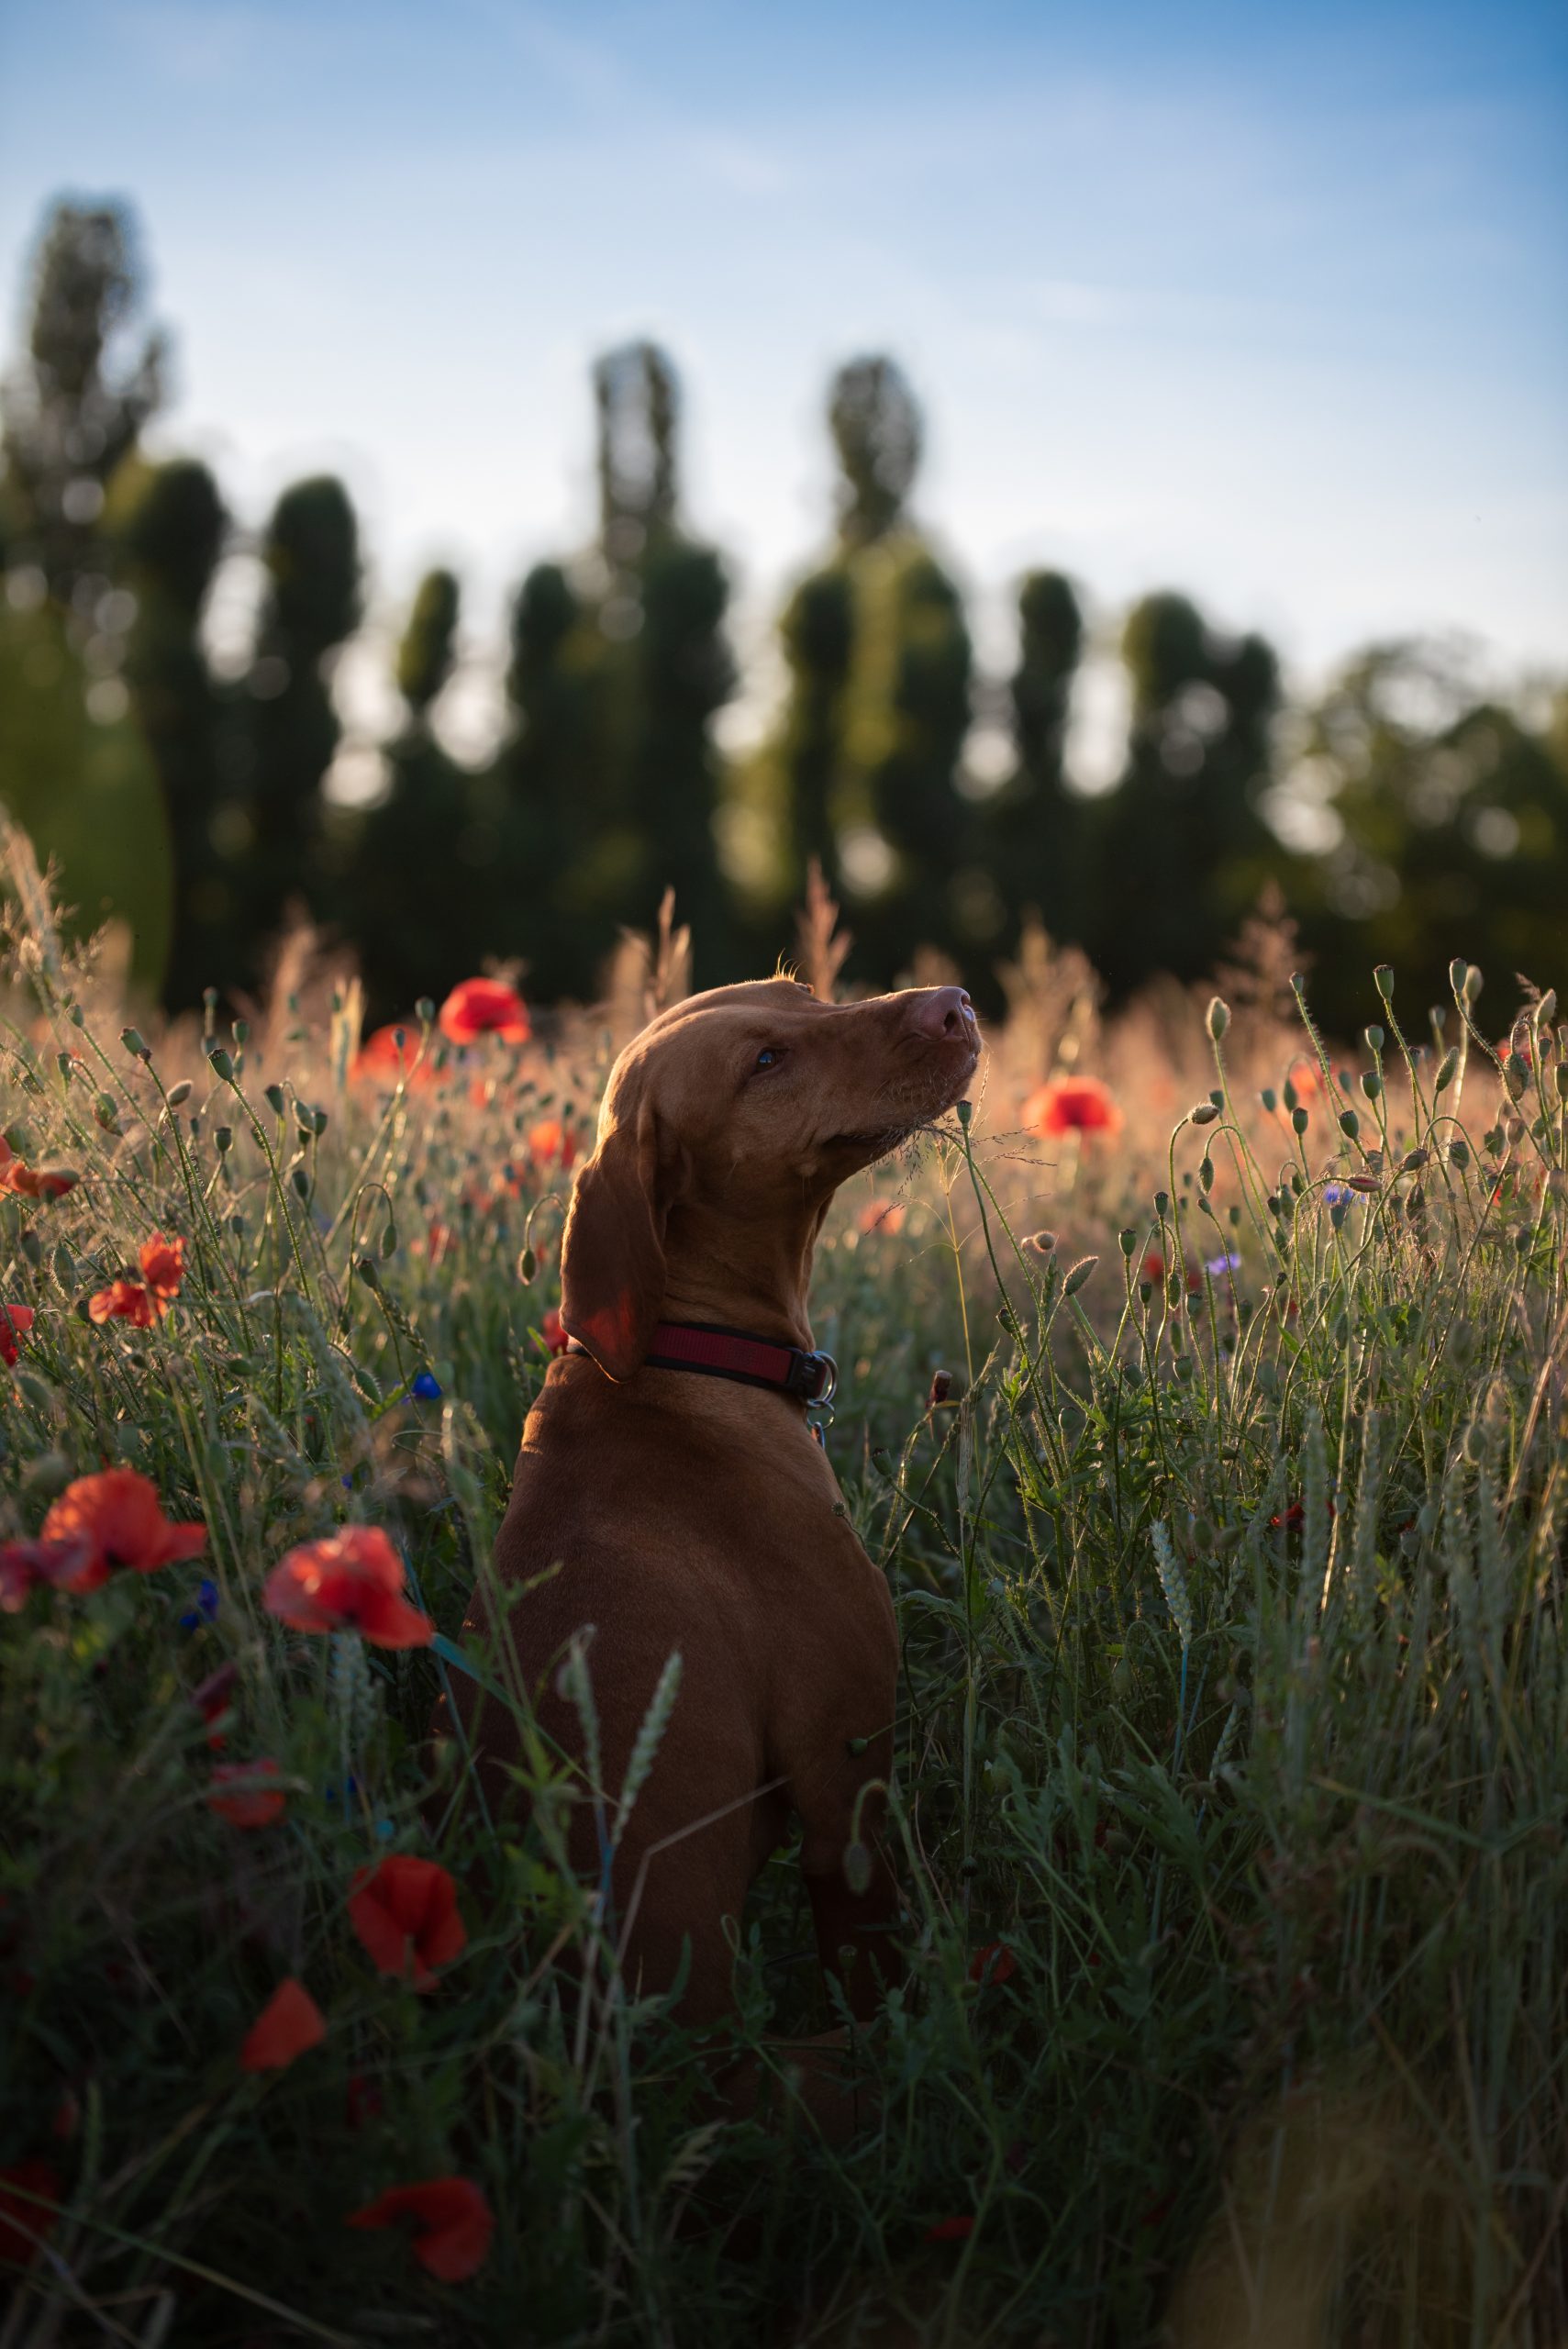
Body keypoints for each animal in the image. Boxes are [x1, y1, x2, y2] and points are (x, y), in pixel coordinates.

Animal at [443, 976, 981, 2057]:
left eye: (800, 994)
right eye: (764, 1062)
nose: (953, 1004)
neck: (682, 1356)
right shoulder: (843, 1794)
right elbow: (871, 1959)